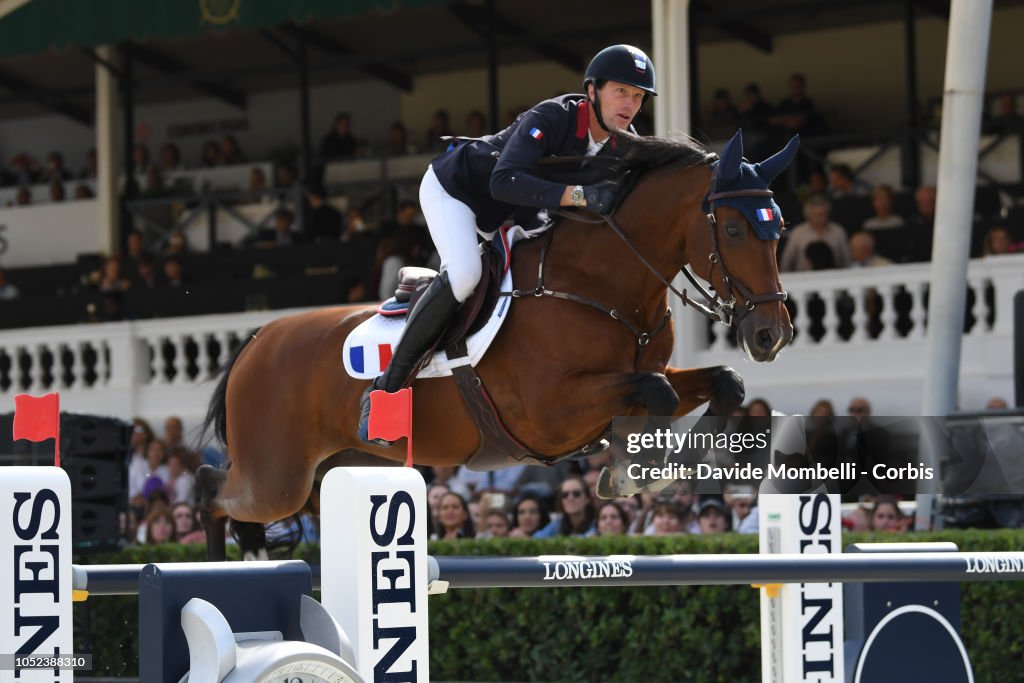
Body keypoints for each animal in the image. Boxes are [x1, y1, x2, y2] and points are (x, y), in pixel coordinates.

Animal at [195, 129, 794, 561]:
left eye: (779, 228)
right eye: (734, 229)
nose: (772, 334)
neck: (602, 282)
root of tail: (256, 341)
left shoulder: (630, 381)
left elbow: (721, 382)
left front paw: (659, 466)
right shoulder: (551, 413)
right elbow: (657, 393)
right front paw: (633, 470)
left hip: (334, 468)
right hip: (277, 476)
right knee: (213, 490)